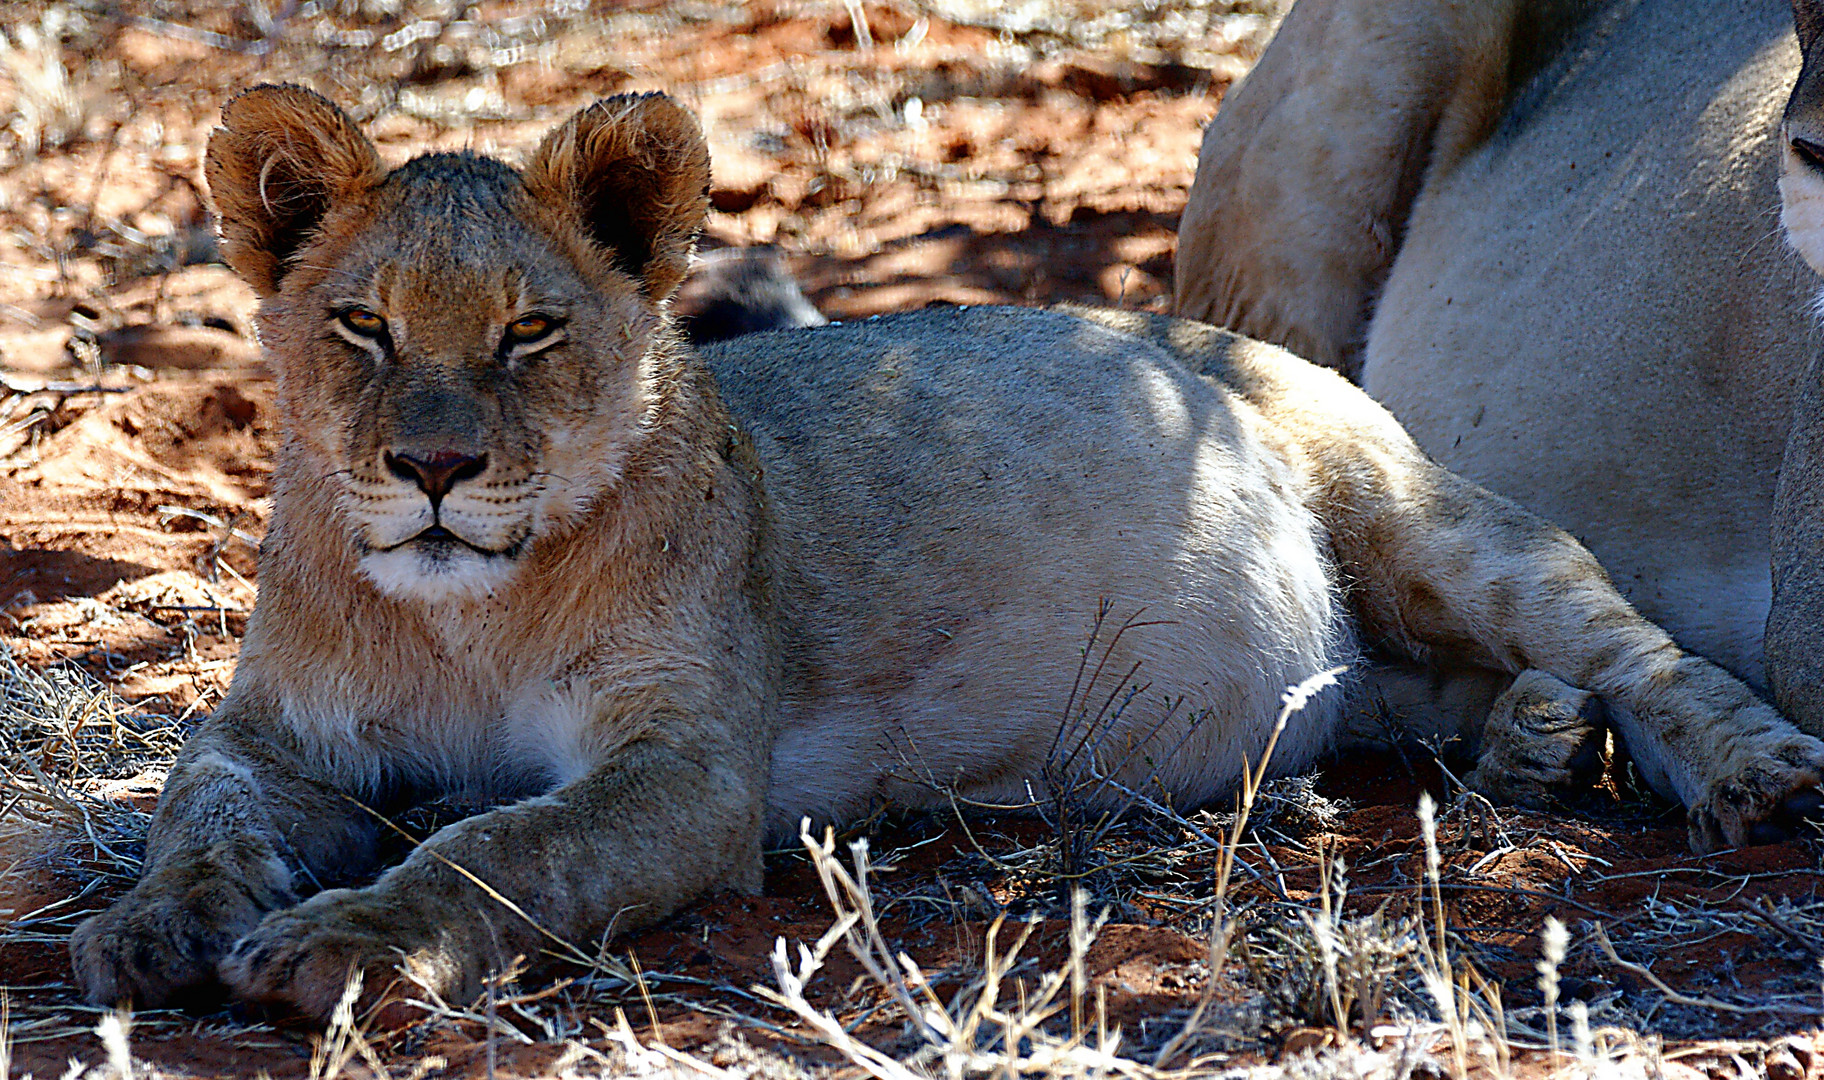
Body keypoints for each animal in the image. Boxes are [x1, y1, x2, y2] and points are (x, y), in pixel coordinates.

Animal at [71, 86, 1824, 1021]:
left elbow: (492, 846)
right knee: (1411, 695)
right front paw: (155, 926)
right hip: (1361, 653)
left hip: (1416, 513)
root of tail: (1207, 334)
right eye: (363, 326)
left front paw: (339, 946)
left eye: (529, 333)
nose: (434, 469)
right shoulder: (275, 731)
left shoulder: (691, 771)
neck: (458, 615)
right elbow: (197, 801)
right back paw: (1532, 740)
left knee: (1633, 640)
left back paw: (1741, 771)